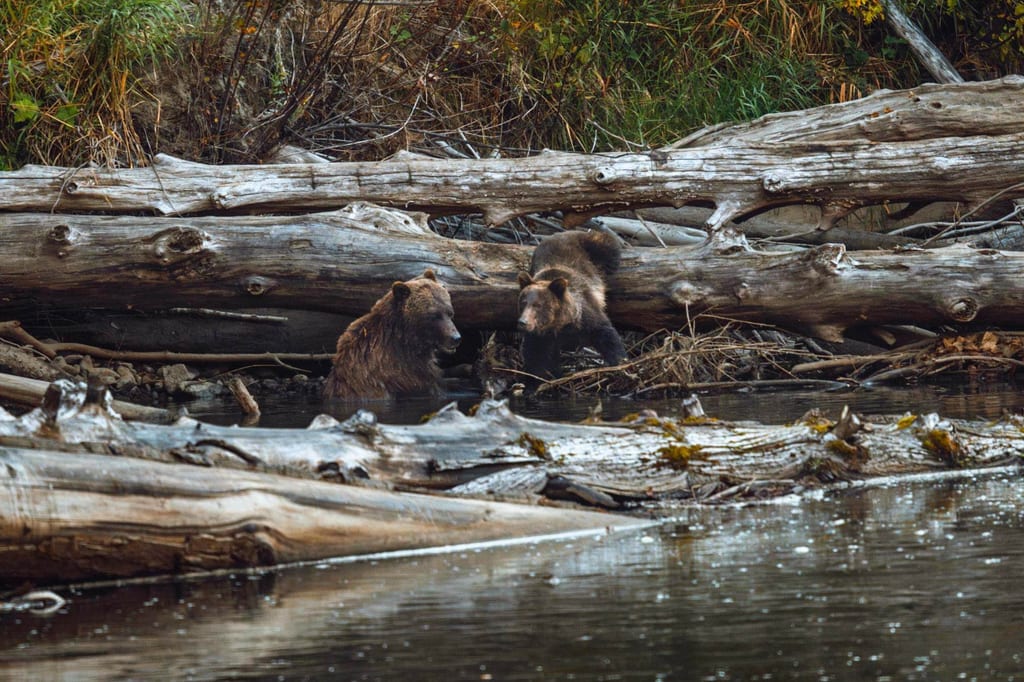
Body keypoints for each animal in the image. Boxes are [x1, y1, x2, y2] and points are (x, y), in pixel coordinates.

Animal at [516, 230, 626, 380]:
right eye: (523, 302)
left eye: (538, 305)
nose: (523, 322)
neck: (559, 324)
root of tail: (562, 232)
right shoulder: (542, 336)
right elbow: (537, 356)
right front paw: (535, 378)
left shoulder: (585, 314)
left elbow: (605, 333)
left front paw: (620, 361)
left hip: (590, 245)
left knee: (608, 248)